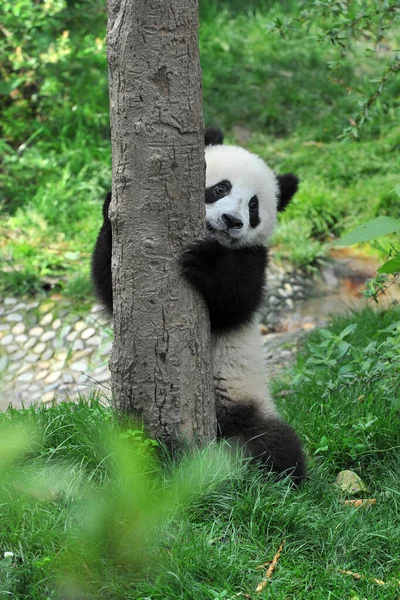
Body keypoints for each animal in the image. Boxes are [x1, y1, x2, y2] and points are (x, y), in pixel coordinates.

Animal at [91, 126, 306, 482]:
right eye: (221, 188)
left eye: (253, 207)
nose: (232, 220)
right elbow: (110, 285)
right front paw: (110, 206)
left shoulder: (254, 258)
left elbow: (234, 303)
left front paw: (206, 262)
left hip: (246, 401)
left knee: (274, 443)